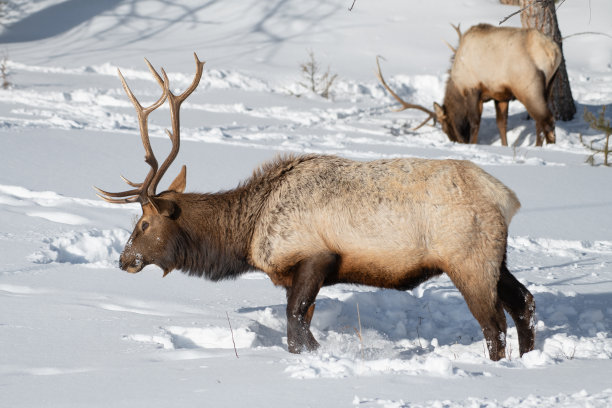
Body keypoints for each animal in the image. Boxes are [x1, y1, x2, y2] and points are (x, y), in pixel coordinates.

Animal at [95, 53, 536, 360]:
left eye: (143, 224)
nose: (124, 259)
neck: (247, 235)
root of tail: (507, 197)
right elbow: (297, 326)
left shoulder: (315, 256)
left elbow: (295, 325)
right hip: (495, 255)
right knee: (524, 302)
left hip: (466, 256)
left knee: (493, 323)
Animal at [380, 22, 560, 147]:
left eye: (444, 126)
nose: (457, 141)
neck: (457, 85)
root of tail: (553, 52)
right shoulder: (500, 95)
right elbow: (501, 123)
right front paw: (504, 146)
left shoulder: (473, 89)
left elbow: (475, 122)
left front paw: (473, 144)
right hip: (549, 86)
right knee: (540, 121)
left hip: (527, 86)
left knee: (546, 119)